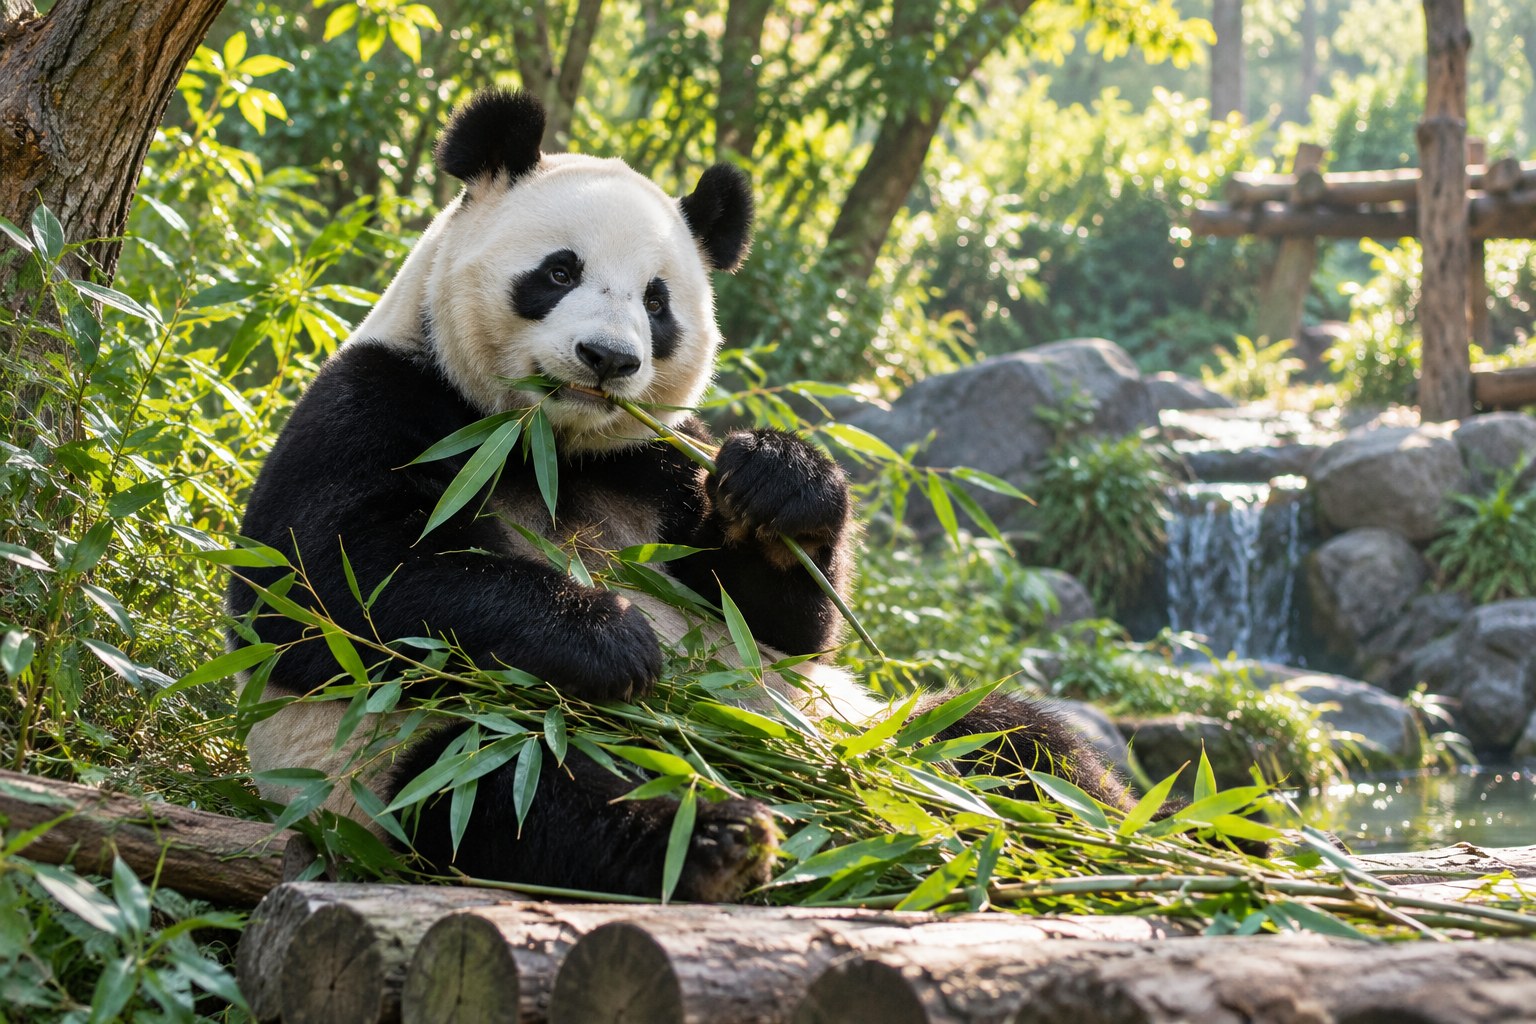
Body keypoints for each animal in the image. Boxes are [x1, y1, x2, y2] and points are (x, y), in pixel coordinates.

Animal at [228, 88, 1134, 902]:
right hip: (417, 754)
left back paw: (1091, 837)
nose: (608, 358)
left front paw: (780, 481)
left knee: (1015, 739)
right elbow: (322, 584)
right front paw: (611, 637)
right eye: (560, 271)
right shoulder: (381, 399)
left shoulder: (660, 466)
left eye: (657, 302)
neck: (546, 446)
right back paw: (717, 835)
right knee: (524, 790)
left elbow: (784, 622)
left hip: (882, 733)